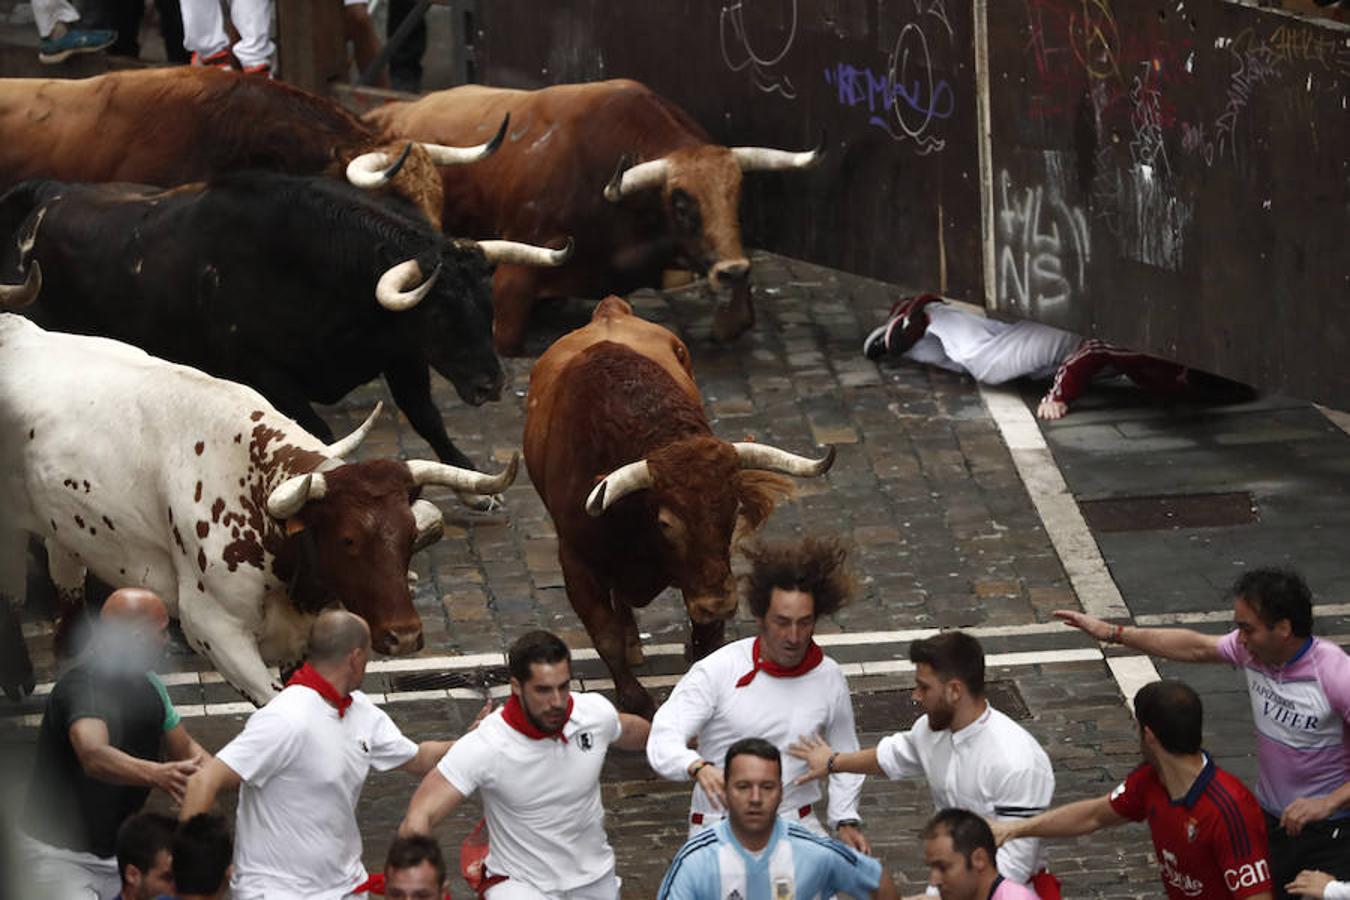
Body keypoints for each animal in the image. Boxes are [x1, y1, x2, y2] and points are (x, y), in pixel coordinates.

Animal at [361, 78, 820, 356]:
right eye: (681, 203)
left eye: (735, 196)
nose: (731, 269)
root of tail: (393, 112)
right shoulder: (518, 268)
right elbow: (505, 336)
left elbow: (740, 314)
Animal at [518, 296, 826, 717]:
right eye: (666, 522)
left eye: (733, 512)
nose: (719, 603)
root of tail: (609, 311)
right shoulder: (577, 564)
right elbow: (605, 635)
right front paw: (635, 700)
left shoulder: (703, 576)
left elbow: (705, 641)